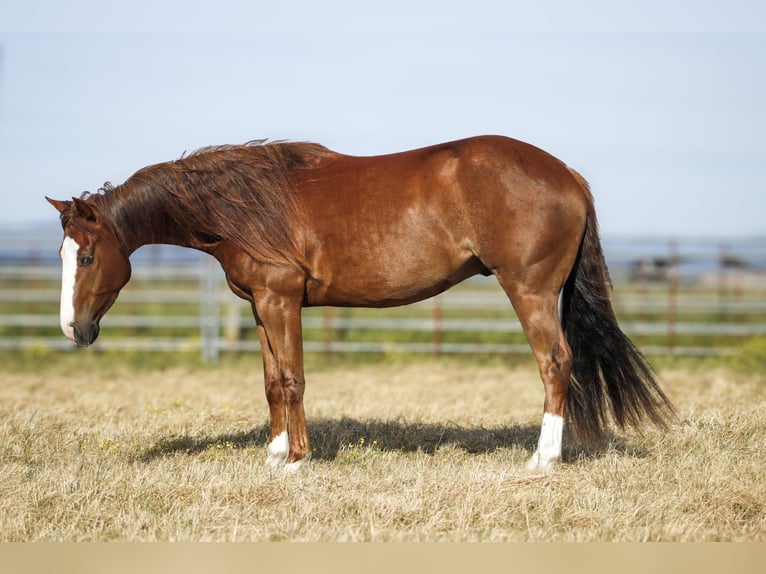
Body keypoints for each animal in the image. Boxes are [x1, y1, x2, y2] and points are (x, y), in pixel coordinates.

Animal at [46, 135, 674, 472]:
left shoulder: (282, 301)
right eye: (62, 253)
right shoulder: (259, 306)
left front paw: (298, 460)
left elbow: (293, 380)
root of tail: (564, 172)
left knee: (556, 363)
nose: (74, 331)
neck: (243, 205)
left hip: (531, 291)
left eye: (87, 257)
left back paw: (543, 460)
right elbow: (272, 382)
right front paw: (274, 455)